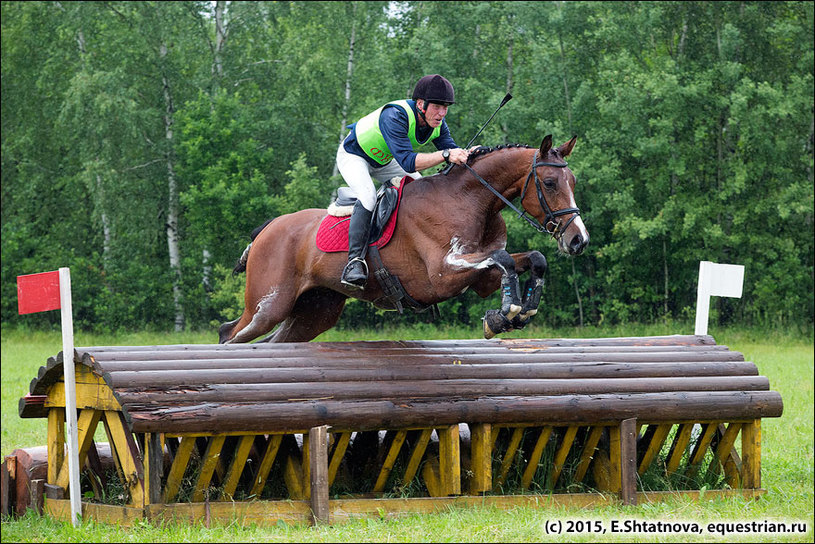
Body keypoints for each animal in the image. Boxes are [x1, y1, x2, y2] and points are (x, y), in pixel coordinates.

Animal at [218, 134, 588, 342]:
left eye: (573, 181)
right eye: (550, 183)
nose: (578, 240)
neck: (471, 199)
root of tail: (266, 229)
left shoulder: (479, 278)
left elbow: (531, 260)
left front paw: (516, 312)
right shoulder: (442, 274)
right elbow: (505, 259)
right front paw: (507, 312)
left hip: (315, 312)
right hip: (268, 306)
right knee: (229, 334)